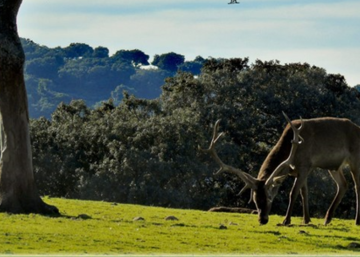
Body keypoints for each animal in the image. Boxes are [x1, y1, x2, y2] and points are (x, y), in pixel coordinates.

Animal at [201, 113, 360, 225]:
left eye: (270, 197)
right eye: (254, 200)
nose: (263, 220)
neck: (291, 150)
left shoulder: (305, 165)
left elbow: (293, 193)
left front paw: (286, 220)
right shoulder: (302, 170)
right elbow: (304, 193)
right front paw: (306, 220)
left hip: (355, 159)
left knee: (357, 187)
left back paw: (356, 221)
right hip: (334, 166)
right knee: (343, 185)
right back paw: (327, 219)